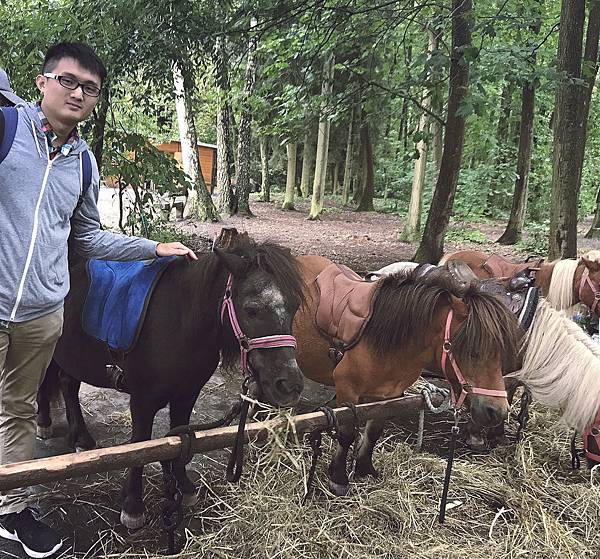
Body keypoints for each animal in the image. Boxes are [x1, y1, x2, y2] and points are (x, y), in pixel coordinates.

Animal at [39, 234, 308, 532]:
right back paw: (45, 423)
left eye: (295, 306)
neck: (179, 322)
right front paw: (133, 505)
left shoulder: (187, 395)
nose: (289, 386)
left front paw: (183, 486)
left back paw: (81, 438)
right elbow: (140, 446)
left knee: (67, 385)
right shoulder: (142, 402)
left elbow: (181, 436)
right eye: (251, 309)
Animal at [292, 256, 524, 496]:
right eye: (472, 351)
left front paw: (364, 467)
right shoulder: (348, 390)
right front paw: (338, 478)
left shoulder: (388, 396)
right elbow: (346, 433)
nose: (497, 411)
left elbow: (374, 431)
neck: (386, 338)